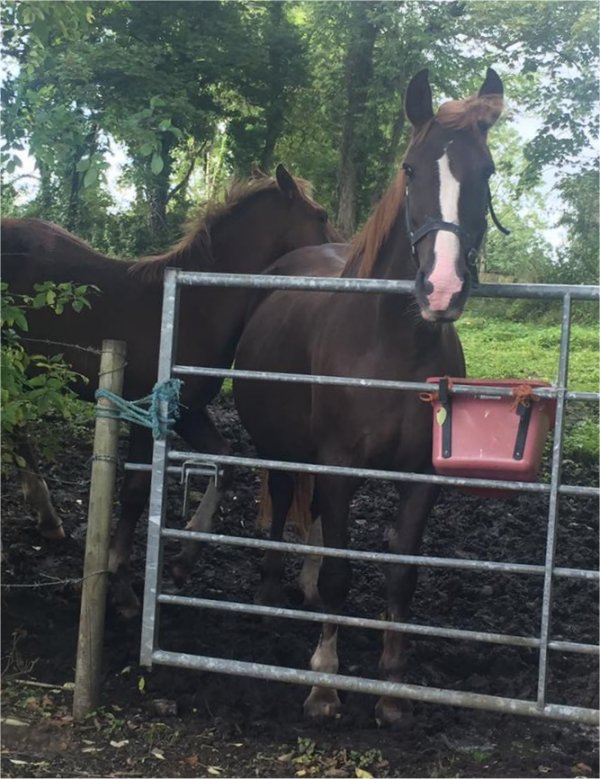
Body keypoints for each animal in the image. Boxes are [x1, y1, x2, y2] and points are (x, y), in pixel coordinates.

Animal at [1, 165, 335, 616]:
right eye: (321, 216)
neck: (193, 307)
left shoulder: (189, 412)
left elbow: (224, 462)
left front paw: (181, 563)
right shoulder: (147, 416)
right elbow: (137, 492)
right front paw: (122, 586)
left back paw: (49, 520)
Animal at [233, 69, 505, 725]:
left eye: (485, 171)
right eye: (410, 169)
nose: (442, 289)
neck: (392, 346)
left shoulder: (420, 480)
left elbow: (400, 578)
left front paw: (391, 688)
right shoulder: (338, 466)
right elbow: (340, 573)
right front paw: (325, 683)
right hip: (278, 446)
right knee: (285, 502)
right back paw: (271, 592)